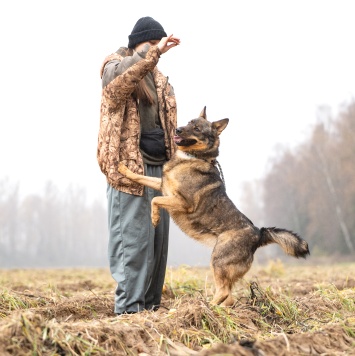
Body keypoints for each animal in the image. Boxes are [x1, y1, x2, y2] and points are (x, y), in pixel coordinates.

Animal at [118, 106, 310, 306]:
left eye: (197, 129)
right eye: (188, 122)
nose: (177, 129)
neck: (191, 157)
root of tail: (258, 233)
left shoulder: (182, 202)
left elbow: (155, 200)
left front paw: (154, 218)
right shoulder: (163, 186)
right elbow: (141, 177)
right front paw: (123, 169)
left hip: (218, 259)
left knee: (224, 292)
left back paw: (206, 307)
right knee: (229, 296)